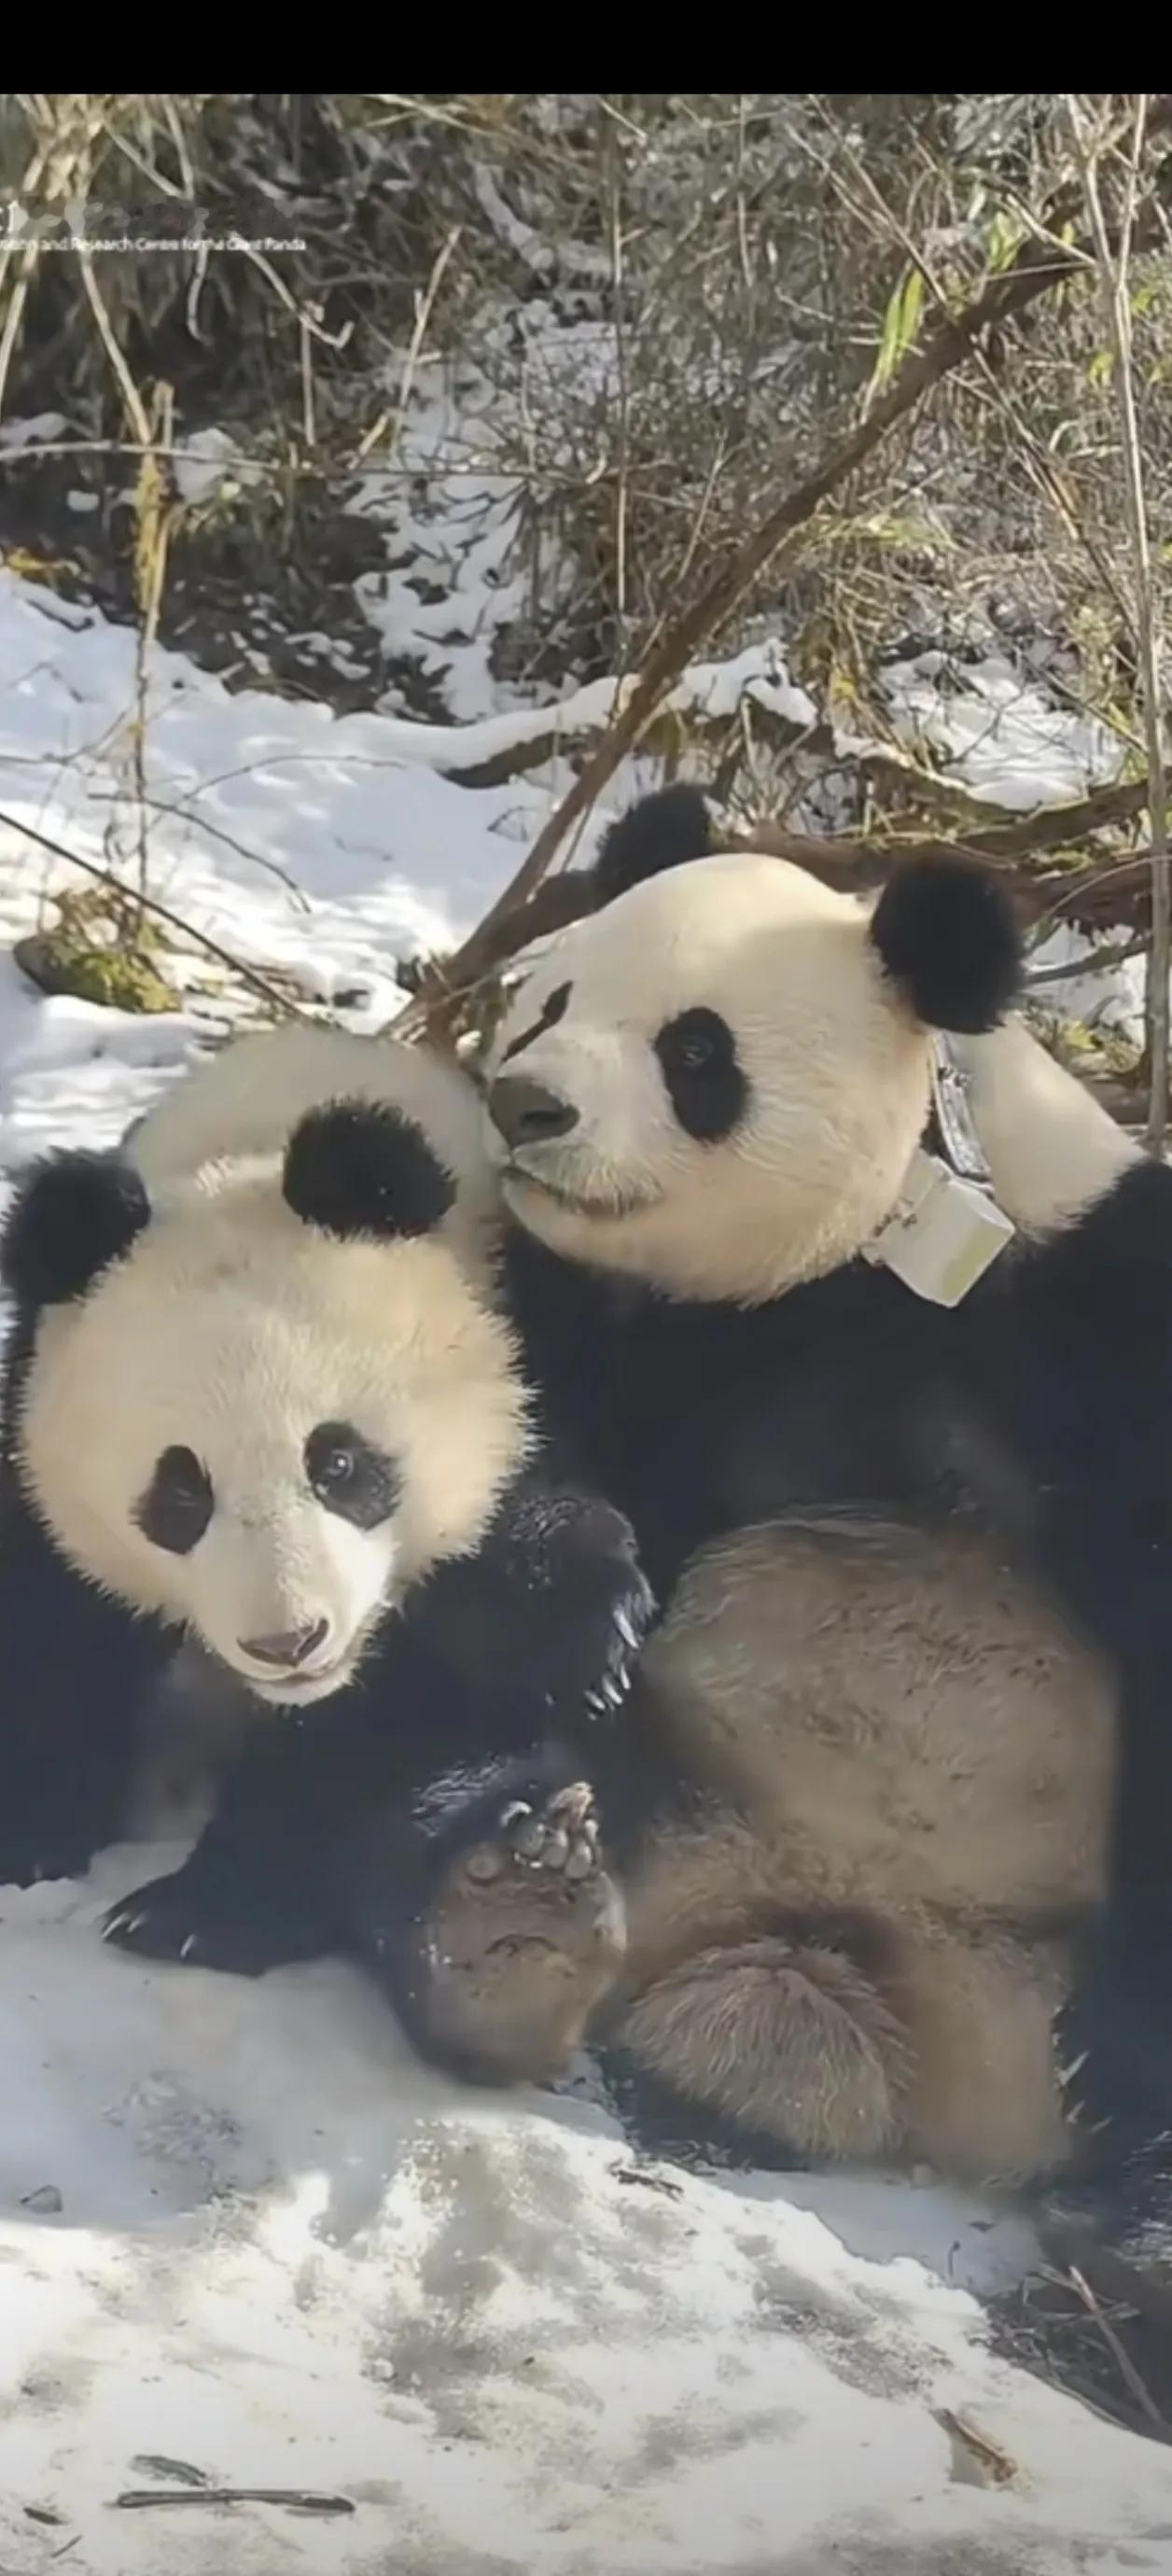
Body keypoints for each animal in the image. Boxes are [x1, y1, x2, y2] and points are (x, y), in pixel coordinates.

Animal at [0, 1015, 646, 2081]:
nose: (287, 1643)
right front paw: (35, 1828)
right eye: (180, 1492)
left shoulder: (522, 1372)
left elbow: (420, 1692)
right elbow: (52, 1625)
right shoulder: (36, 1406)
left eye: (337, 1462)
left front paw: (201, 1913)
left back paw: (509, 1919)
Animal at [407, 783, 1172, 2215]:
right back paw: (499, 1918)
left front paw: (1126, 2047)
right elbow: (502, 1460)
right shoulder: (582, 1299)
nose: (528, 1104)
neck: (858, 1253)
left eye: (696, 1051)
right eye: (552, 1000)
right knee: (450, 1754)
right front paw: (586, 1606)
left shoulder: (1086, 1291)